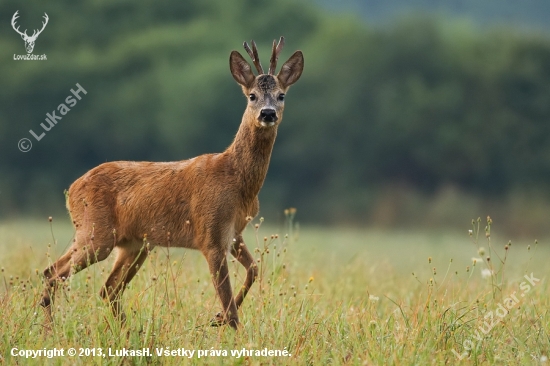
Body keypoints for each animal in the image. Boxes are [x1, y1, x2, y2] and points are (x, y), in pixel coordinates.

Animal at [40, 36, 304, 328]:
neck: (236, 179)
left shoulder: (234, 233)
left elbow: (254, 269)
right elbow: (230, 304)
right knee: (54, 273)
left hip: (133, 243)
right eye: (252, 95)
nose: (268, 114)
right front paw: (227, 326)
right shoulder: (209, 234)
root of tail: (72, 189)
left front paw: (217, 318)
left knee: (106, 288)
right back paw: (51, 330)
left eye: (281, 95)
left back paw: (125, 332)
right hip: (96, 232)